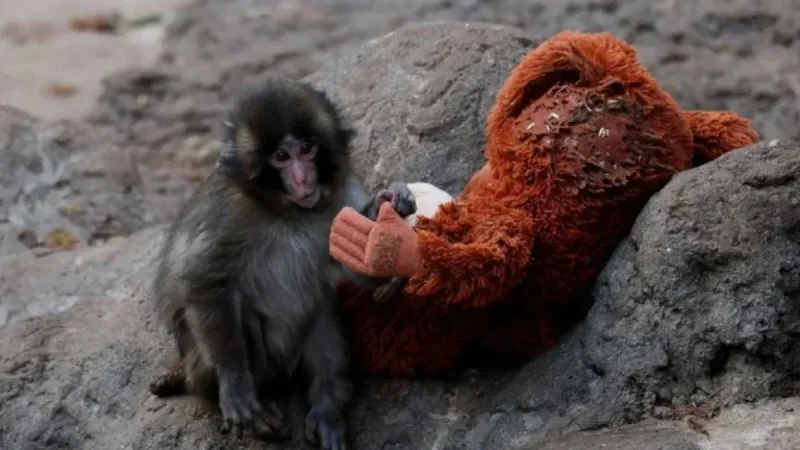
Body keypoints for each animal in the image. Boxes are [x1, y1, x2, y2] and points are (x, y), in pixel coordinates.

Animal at [148, 76, 416, 450]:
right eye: (280, 157)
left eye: (306, 149)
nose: (302, 179)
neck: (288, 214)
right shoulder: (231, 213)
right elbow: (206, 281)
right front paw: (235, 384)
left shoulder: (343, 196)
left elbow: (357, 271)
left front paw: (385, 203)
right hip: (205, 366)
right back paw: (257, 406)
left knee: (321, 308)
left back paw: (327, 403)